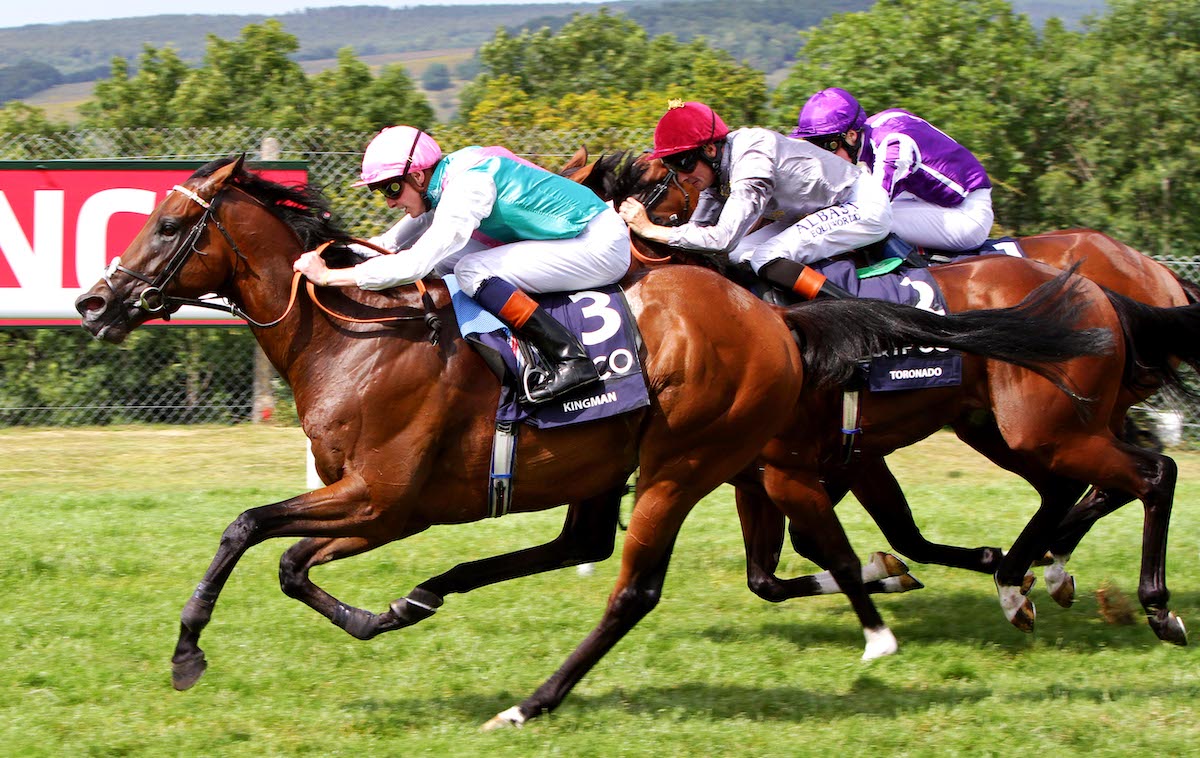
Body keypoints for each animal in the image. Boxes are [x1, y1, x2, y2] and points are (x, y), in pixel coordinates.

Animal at [70, 155, 1108, 729]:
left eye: (170, 222)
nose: (92, 302)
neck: (355, 336)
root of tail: (773, 316)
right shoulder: (378, 507)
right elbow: (289, 562)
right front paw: (380, 614)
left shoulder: (386, 497)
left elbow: (246, 529)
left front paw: (188, 654)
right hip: (611, 463)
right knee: (583, 543)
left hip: (684, 462)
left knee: (630, 588)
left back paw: (530, 702)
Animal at [564, 146, 1200, 647]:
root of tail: (1112, 283)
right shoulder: (794, 464)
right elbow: (778, 571)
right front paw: (909, 570)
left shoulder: (813, 457)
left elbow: (846, 542)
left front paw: (903, 571)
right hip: (1007, 425)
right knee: (1071, 486)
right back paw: (1035, 574)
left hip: (1044, 425)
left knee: (1147, 474)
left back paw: (1137, 601)